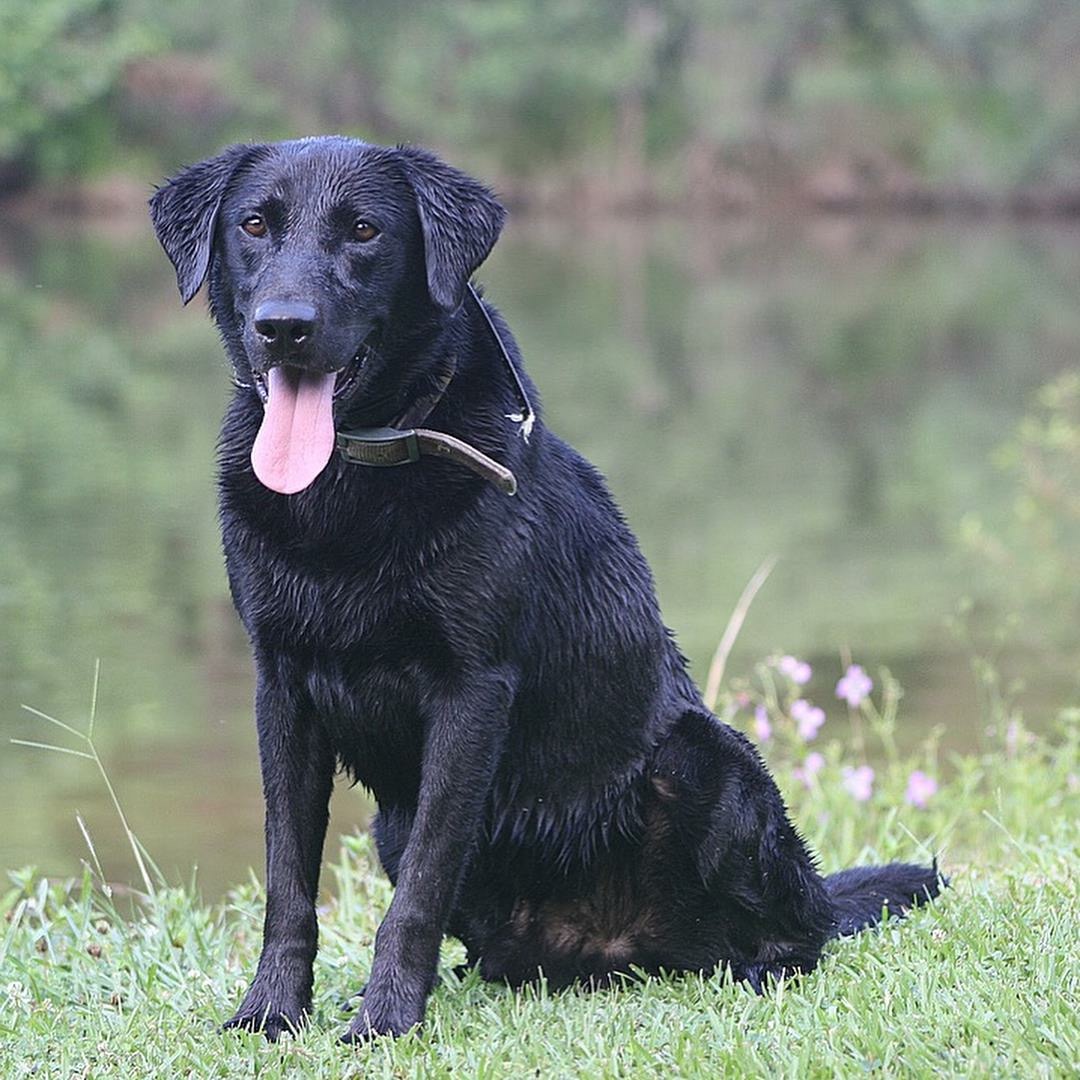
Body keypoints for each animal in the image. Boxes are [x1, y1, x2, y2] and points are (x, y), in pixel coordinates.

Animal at [147, 139, 941, 1041]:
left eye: (364, 231)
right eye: (253, 225)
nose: (284, 326)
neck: (354, 481)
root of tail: (611, 947)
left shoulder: (470, 690)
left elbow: (418, 892)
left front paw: (385, 1021)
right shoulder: (281, 686)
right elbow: (289, 880)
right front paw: (272, 1013)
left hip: (708, 759)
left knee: (794, 929)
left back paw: (762, 966)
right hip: (394, 823)